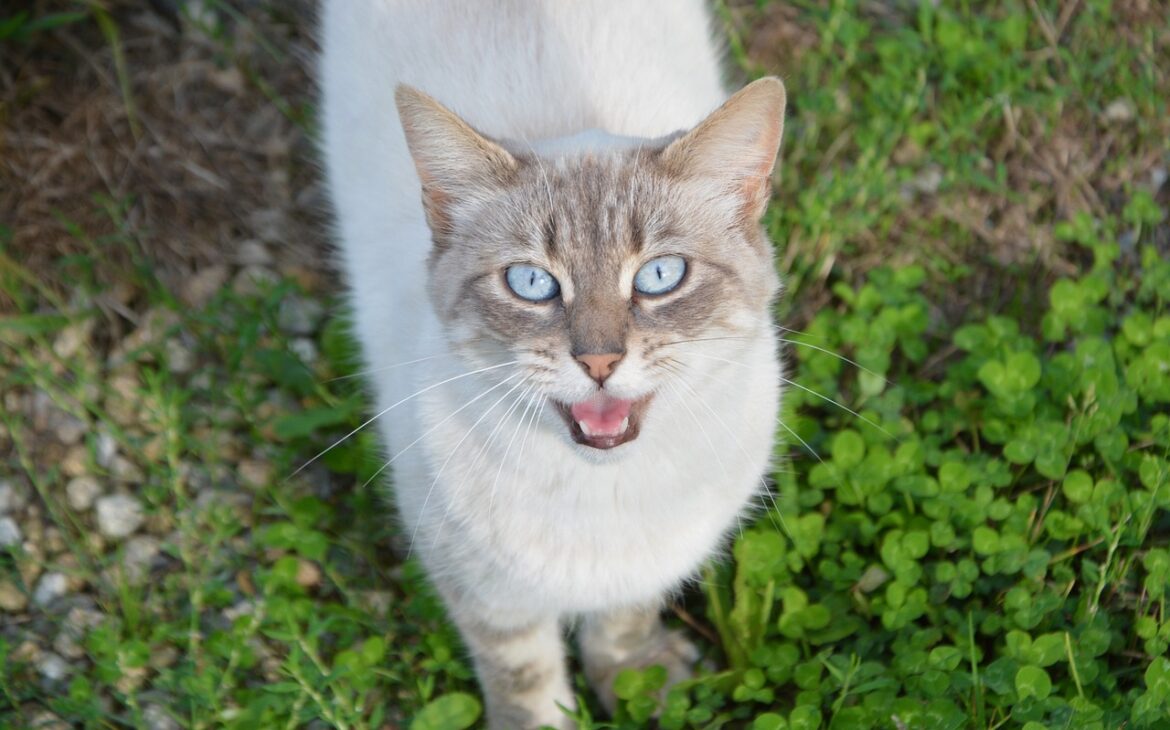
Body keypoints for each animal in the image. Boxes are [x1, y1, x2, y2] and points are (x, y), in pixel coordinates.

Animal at [318, 2, 786, 725]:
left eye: (659, 276)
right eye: (532, 284)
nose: (599, 361)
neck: (600, 492)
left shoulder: (649, 564)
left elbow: (623, 622)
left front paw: (636, 682)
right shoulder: (482, 590)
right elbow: (525, 677)